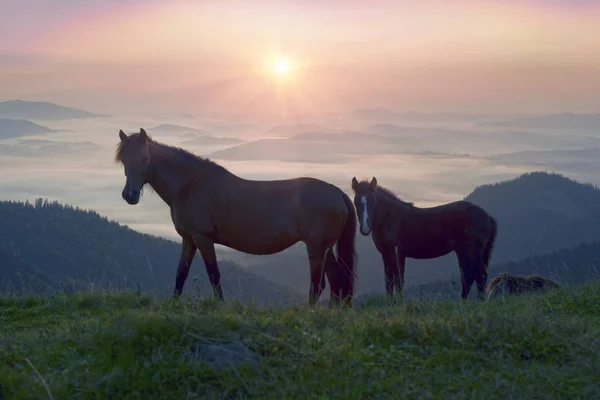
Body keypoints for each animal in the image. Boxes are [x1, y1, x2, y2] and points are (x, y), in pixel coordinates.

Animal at [113, 128, 356, 306]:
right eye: (124, 160)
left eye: (144, 159)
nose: (129, 195)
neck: (190, 185)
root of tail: (339, 193)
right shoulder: (188, 239)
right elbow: (181, 274)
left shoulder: (202, 238)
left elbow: (214, 274)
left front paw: (220, 306)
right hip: (325, 248)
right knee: (337, 281)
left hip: (316, 247)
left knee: (318, 284)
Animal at [352, 177, 496, 300]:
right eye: (356, 202)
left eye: (373, 202)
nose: (365, 229)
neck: (391, 219)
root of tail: (487, 215)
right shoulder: (386, 254)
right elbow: (389, 281)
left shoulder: (398, 253)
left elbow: (398, 280)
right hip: (462, 251)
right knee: (468, 276)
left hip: (473, 251)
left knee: (480, 275)